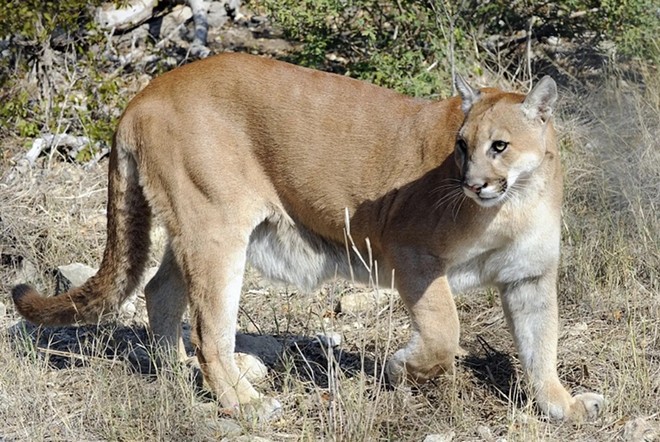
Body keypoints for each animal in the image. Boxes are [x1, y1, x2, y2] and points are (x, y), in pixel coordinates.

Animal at [12, 52, 604, 422]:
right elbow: (444, 332)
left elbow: (542, 347)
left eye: (499, 145)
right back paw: (246, 402)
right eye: (460, 145)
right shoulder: (412, 254)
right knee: (208, 328)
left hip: (196, 229)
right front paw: (402, 368)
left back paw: (178, 373)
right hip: (215, 229)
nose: (472, 183)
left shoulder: (530, 277)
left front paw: (564, 406)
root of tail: (145, 92)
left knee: (161, 293)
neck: (514, 203)